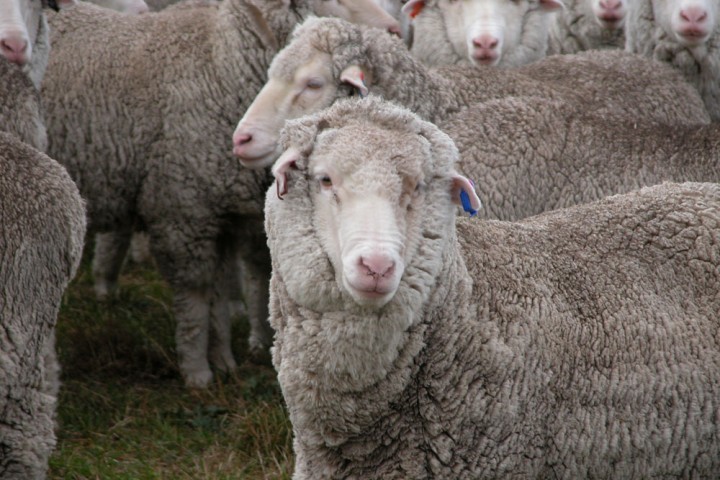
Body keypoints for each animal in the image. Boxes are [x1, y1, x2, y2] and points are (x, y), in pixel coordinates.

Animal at [42, 0, 400, 388]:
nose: (396, 30)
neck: (221, 64)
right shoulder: (183, 207)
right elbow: (197, 296)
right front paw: (197, 371)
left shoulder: (220, 212)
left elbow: (220, 288)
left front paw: (225, 360)